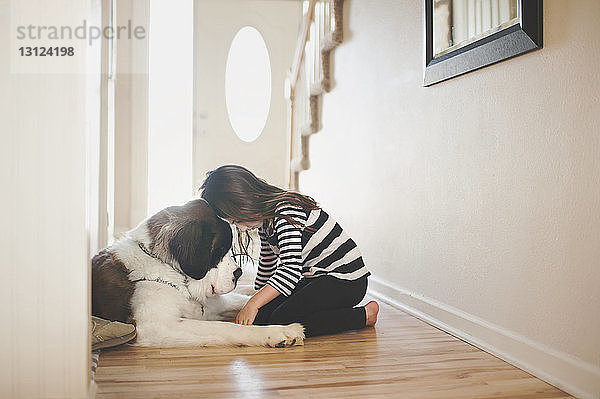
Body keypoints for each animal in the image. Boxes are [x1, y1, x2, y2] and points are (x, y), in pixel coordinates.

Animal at [92, 199, 304, 346]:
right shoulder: (157, 325)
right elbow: (227, 327)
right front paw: (280, 332)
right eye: (219, 251)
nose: (238, 273)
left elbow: (245, 301)